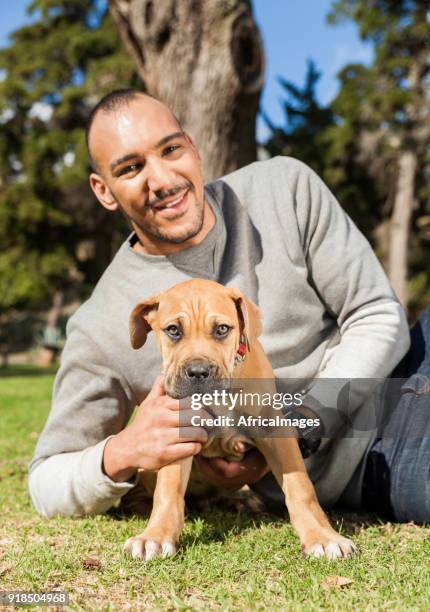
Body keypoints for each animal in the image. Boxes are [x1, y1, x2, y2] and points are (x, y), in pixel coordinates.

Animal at [122, 280, 354, 560]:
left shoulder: (276, 432)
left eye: (222, 329)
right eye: (173, 330)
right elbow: (168, 490)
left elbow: (300, 487)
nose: (198, 372)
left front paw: (322, 536)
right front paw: (155, 536)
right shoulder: (176, 431)